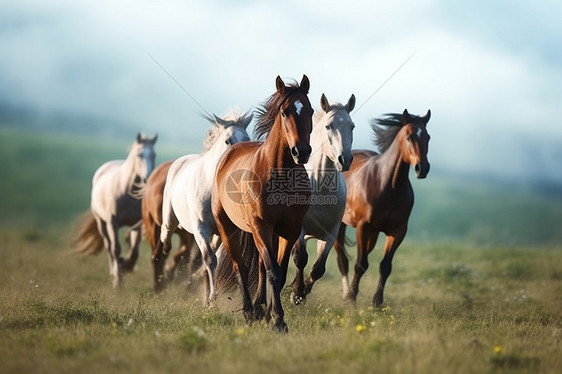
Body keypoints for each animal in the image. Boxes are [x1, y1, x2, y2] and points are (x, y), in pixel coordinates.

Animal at [160, 109, 252, 306]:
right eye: (227, 140)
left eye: (247, 139)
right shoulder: (201, 227)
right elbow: (210, 259)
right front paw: (212, 298)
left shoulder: (223, 231)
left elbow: (212, 262)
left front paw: (209, 300)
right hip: (171, 218)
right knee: (166, 231)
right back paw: (164, 250)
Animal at [212, 74, 312, 332]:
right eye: (285, 112)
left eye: (309, 110)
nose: (301, 152)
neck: (280, 173)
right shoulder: (261, 226)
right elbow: (272, 272)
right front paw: (277, 320)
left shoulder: (289, 230)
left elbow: (279, 271)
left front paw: (271, 315)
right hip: (228, 227)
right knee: (240, 266)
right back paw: (249, 311)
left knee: (258, 265)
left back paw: (258, 308)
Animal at [288, 93, 354, 304]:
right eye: (328, 126)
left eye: (352, 126)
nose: (344, 160)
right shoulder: (299, 230)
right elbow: (300, 258)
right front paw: (296, 293)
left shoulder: (330, 234)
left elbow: (318, 269)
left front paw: (301, 292)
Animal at [332, 109, 428, 306]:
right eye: (409, 137)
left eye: (428, 137)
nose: (422, 168)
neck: (388, 186)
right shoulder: (363, 226)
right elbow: (360, 264)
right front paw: (352, 298)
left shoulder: (398, 231)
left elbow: (385, 266)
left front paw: (377, 301)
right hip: (342, 226)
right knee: (342, 259)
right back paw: (344, 295)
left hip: (374, 234)